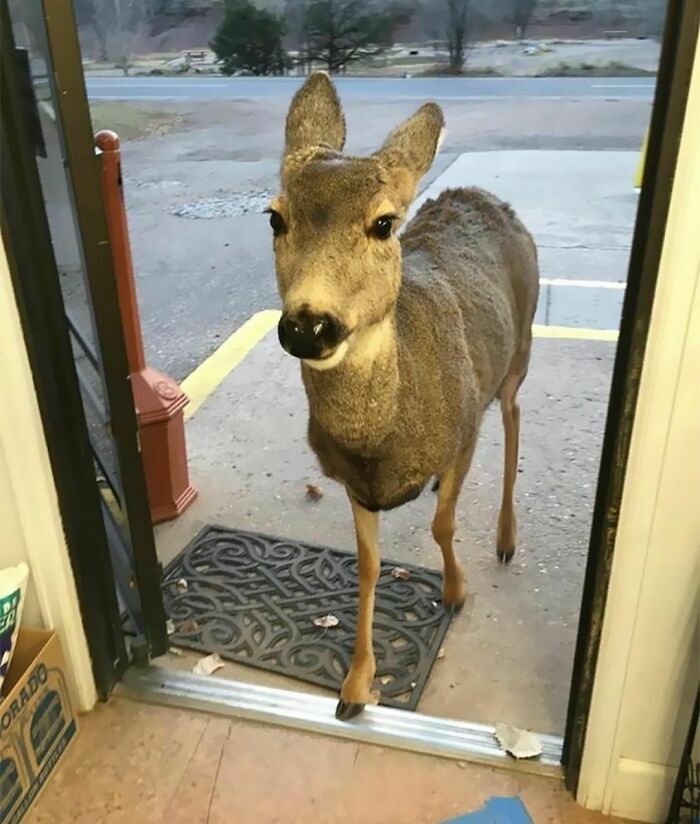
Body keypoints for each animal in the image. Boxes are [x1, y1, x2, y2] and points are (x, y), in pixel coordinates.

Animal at [268, 73, 539, 721]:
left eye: (384, 223)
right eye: (275, 218)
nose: (308, 325)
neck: (384, 438)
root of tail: (483, 195)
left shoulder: (462, 430)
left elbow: (443, 526)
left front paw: (457, 590)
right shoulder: (353, 483)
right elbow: (368, 566)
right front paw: (355, 687)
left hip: (520, 350)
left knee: (514, 416)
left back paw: (505, 538)